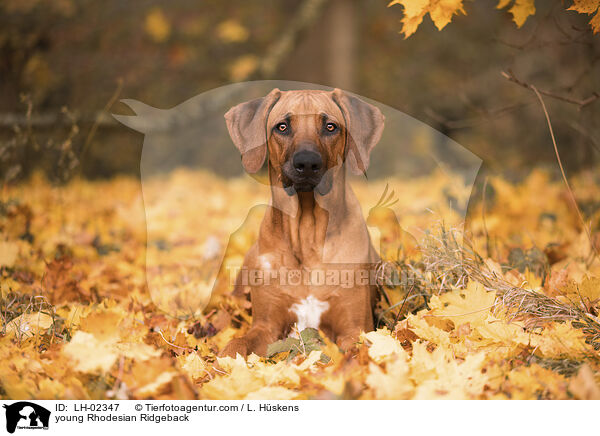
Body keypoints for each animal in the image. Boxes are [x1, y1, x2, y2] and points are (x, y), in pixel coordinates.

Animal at [220, 88, 384, 358]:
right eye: (282, 126)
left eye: (330, 126)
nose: (307, 163)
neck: (307, 232)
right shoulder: (266, 326)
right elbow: (237, 344)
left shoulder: (355, 328)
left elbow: (356, 353)